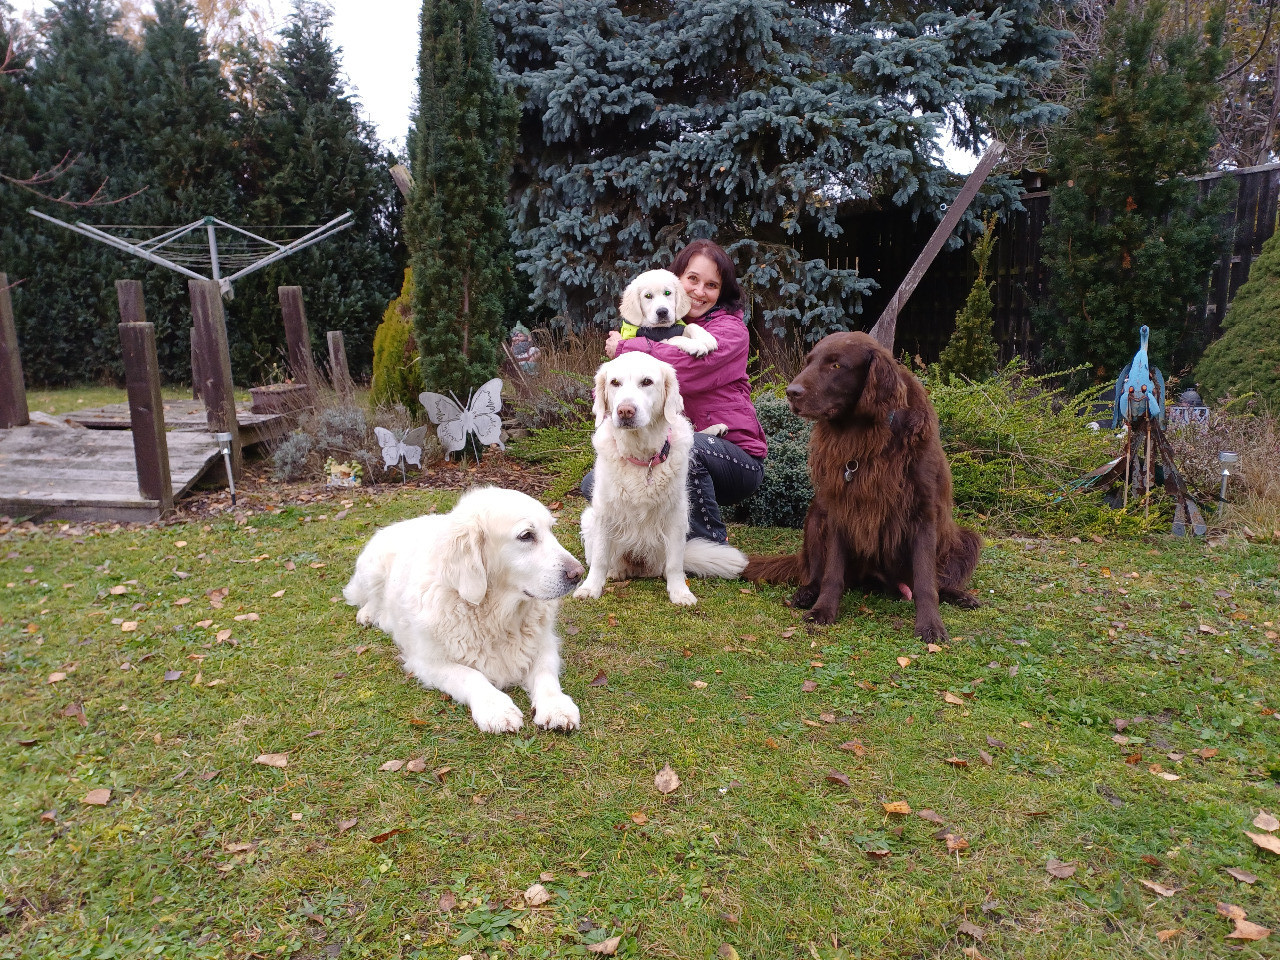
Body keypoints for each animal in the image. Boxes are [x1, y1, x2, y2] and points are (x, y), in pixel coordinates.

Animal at [343, 487, 585, 733]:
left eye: (551, 529)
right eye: (526, 535)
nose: (578, 574)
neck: (496, 616)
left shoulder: (544, 644)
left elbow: (546, 674)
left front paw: (556, 707)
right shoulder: (426, 662)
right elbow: (471, 675)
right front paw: (497, 709)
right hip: (372, 569)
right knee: (369, 598)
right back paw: (368, 614)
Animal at [575, 352, 747, 606]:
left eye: (647, 382)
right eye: (614, 383)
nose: (625, 411)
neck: (641, 458)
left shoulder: (676, 514)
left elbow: (675, 563)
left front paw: (680, 592)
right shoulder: (604, 512)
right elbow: (599, 558)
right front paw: (591, 588)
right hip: (588, 518)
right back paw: (616, 571)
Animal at [743, 332, 981, 641]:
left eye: (836, 366)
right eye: (809, 361)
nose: (791, 392)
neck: (865, 433)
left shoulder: (924, 512)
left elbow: (926, 582)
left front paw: (930, 625)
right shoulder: (840, 509)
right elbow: (832, 574)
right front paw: (823, 611)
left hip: (966, 539)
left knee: (940, 580)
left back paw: (959, 595)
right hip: (815, 517)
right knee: (815, 572)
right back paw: (806, 593)